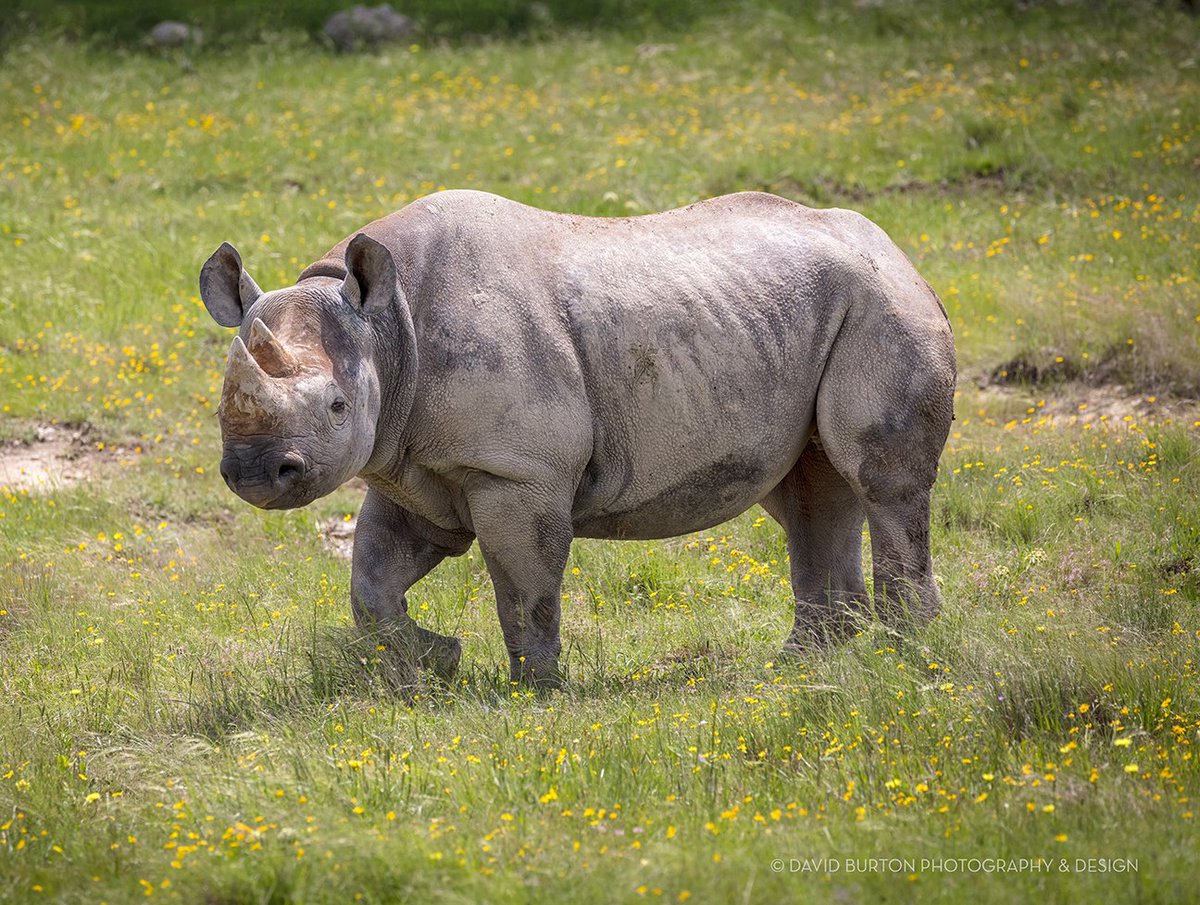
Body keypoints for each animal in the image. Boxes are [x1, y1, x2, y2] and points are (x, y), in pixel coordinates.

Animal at [200, 190, 955, 687]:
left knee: (879, 480)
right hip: (811, 312)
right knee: (808, 491)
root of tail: (894, 246)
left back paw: (907, 658)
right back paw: (799, 667)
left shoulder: (515, 470)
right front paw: (437, 662)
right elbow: (371, 583)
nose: (255, 475)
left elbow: (522, 584)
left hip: (882, 303)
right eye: (219, 408)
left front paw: (533, 693)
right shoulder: (411, 463)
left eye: (335, 406)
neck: (386, 330)